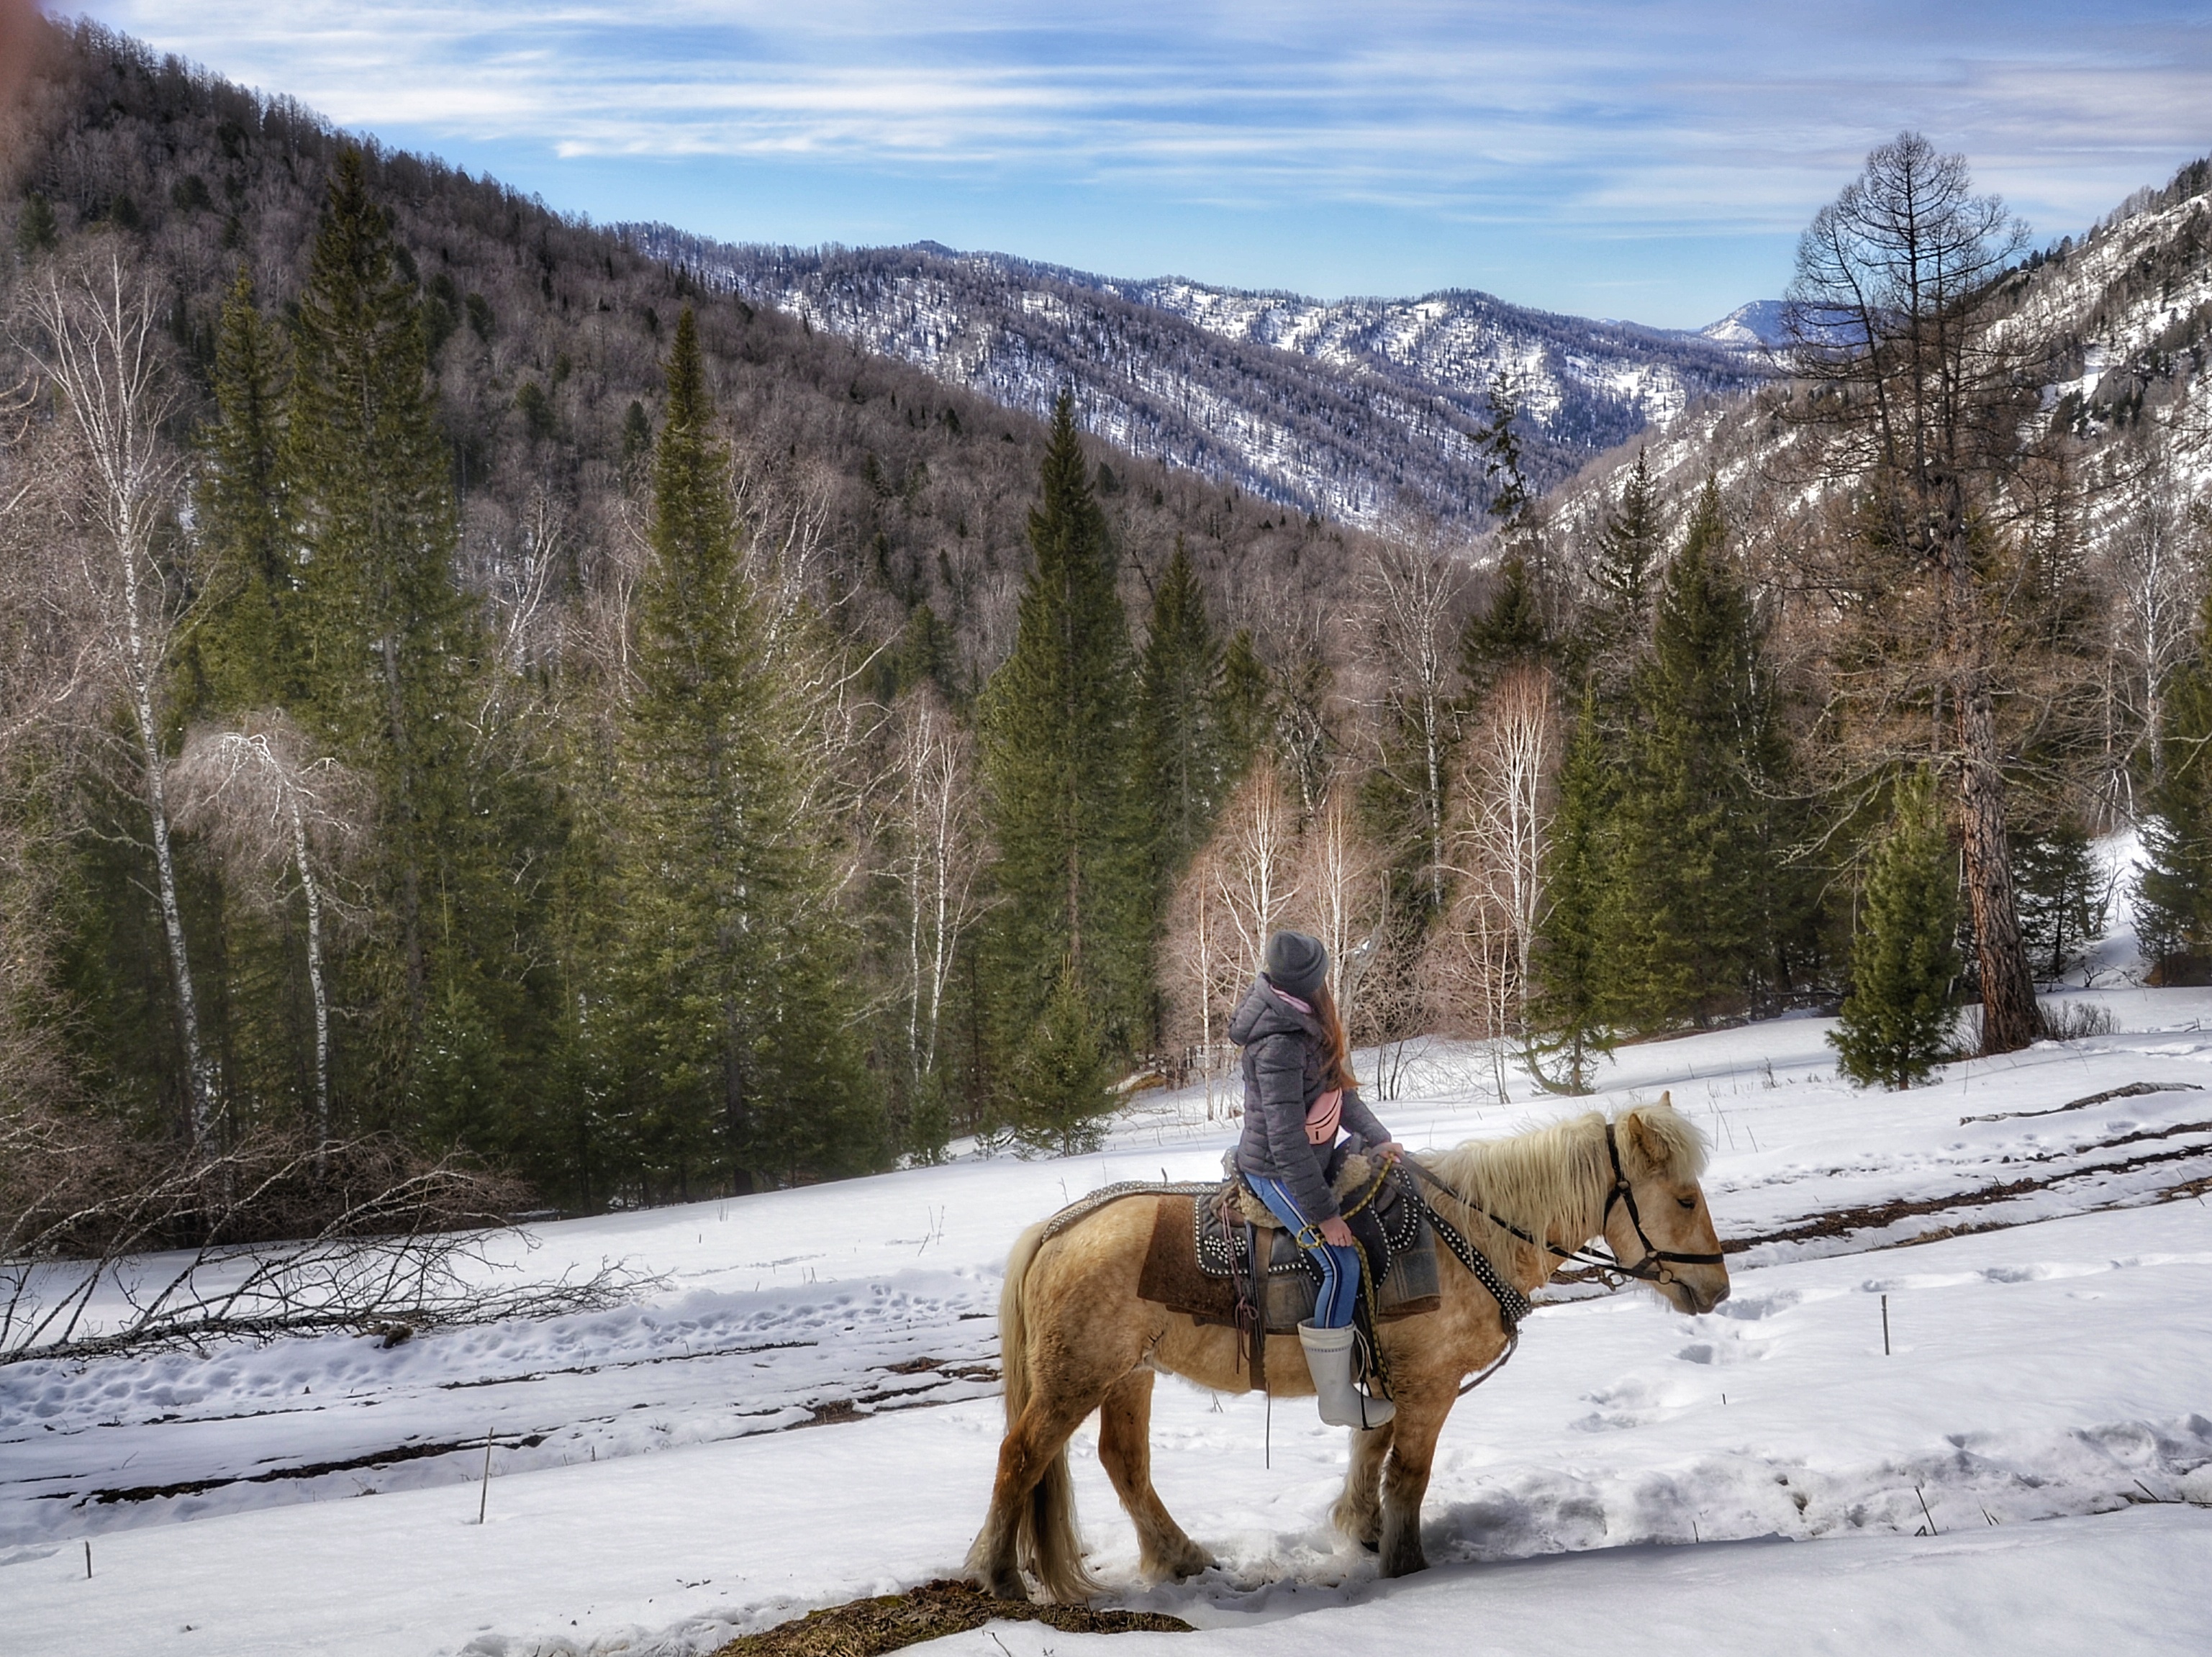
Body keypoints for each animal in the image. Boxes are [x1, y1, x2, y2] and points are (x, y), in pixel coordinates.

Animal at [969, 1092, 1725, 1592]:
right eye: (1685, 1198)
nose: (1715, 1287)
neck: (1469, 1230)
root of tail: (1055, 1227)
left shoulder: (1386, 1380)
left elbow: (1370, 1452)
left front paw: (1362, 1528)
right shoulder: (1430, 1386)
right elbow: (1409, 1473)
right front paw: (1406, 1564)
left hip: (1128, 1374)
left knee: (1124, 1462)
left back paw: (1180, 1556)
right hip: (1076, 1377)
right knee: (1020, 1456)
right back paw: (998, 1576)